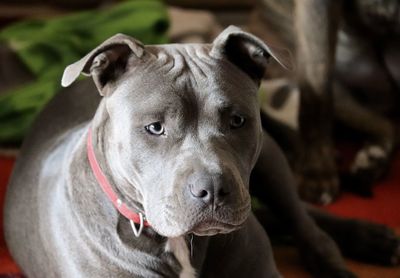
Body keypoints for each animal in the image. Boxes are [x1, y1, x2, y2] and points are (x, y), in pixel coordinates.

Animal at [3, 25, 400, 276]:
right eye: (155, 127)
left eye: (237, 120)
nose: (212, 190)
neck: (176, 243)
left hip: (272, 159)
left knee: (305, 222)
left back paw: (368, 241)